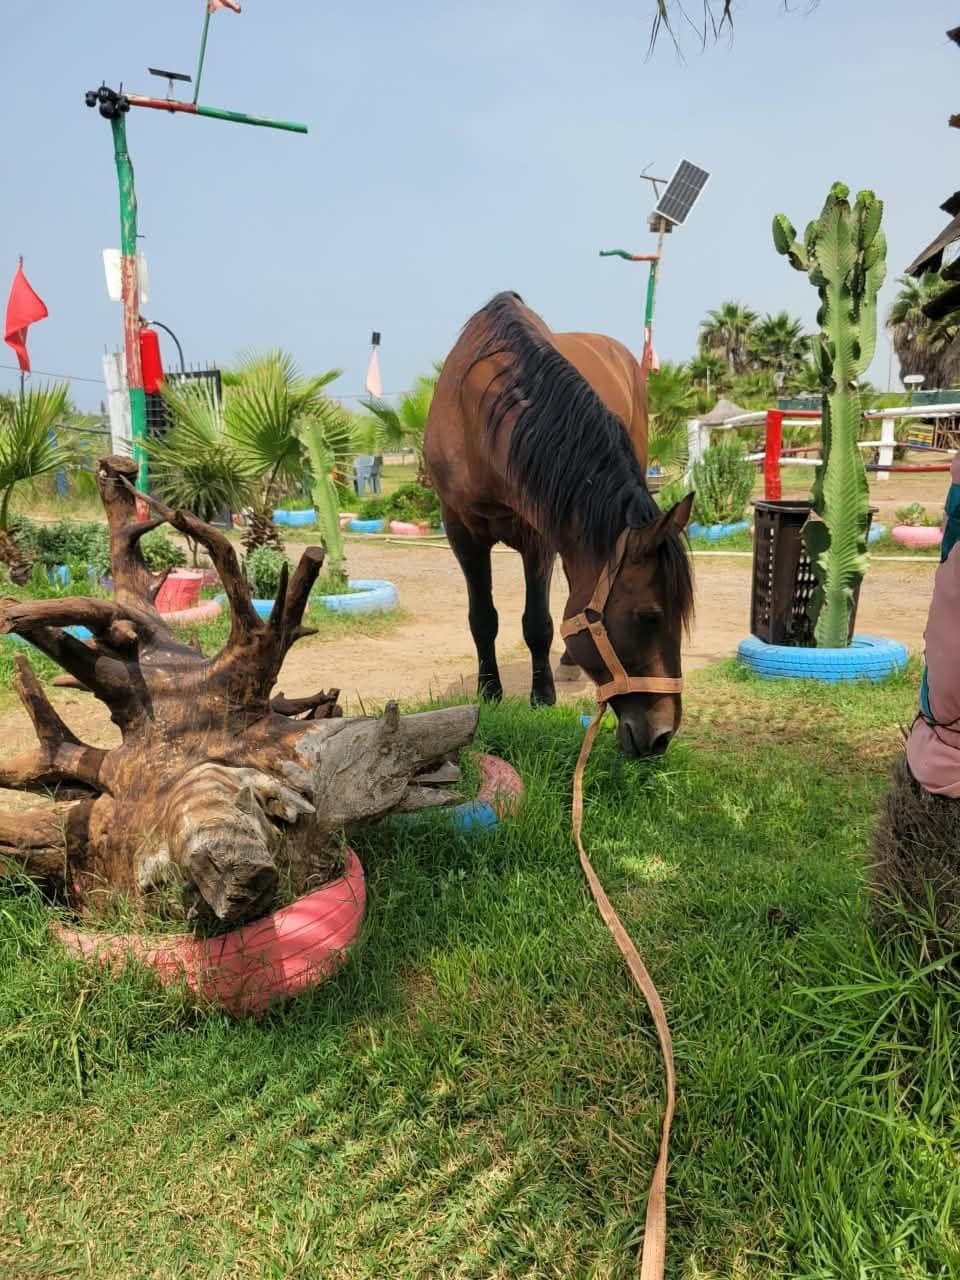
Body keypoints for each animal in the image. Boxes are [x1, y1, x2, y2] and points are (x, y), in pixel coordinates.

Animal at [424, 291, 694, 758]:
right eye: (649, 616)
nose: (661, 736)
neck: (478, 414)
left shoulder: (539, 538)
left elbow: (538, 623)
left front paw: (542, 695)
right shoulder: (461, 532)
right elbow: (483, 617)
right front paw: (489, 691)